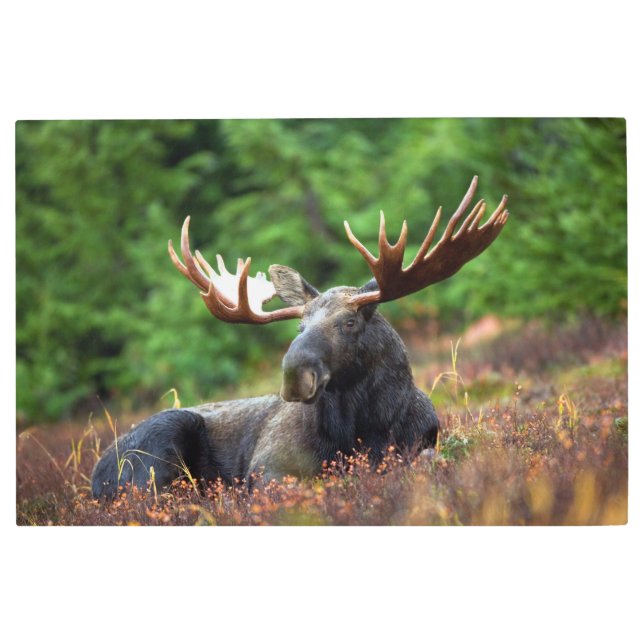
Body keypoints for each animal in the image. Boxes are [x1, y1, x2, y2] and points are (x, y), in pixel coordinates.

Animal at [91, 176, 509, 499]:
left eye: (349, 322)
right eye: (299, 327)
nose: (294, 375)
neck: (365, 429)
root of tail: (96, 475)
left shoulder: (421, 443)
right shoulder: (267, 467)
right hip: (159, 445)